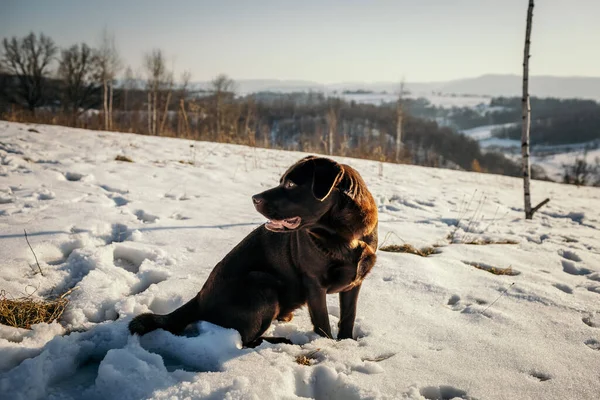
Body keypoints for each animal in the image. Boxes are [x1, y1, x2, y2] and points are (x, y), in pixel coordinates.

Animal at [129, 156, 378, 346]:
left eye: (290, 185)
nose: (254, 198)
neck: (345, 236)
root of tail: (199, 299)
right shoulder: (314, 284)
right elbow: (323, 322)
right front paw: (328, 345)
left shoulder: (354, 284)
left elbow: (348, 316)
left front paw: (347, 343)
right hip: (262, 285)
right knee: (246, 339)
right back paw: (280, 342)